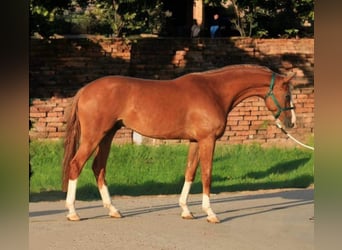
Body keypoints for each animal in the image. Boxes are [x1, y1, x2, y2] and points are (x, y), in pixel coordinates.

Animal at [62, 64, 296, 223]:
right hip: (94, 136)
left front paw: (186, 210)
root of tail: (85, 90)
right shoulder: (208, 140)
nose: (291, 123)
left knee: (98, 167)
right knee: (76, 165)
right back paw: (73, 212)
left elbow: (190, 172)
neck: (214, 91)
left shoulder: (195, 141)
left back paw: (112, 210)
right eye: (287, 95)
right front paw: (210, 213)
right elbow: (207, 174)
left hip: (107, 135)